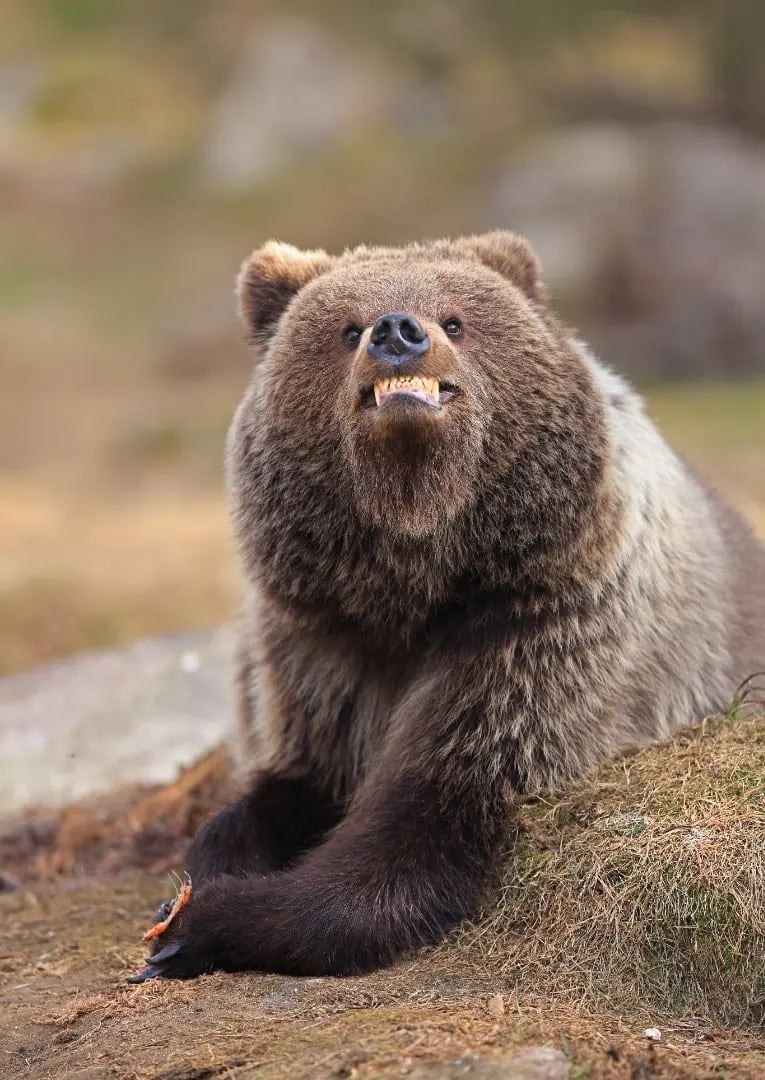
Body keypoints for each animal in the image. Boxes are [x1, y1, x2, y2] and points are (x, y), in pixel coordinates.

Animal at [129, 232, 765, 982]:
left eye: (456, 319)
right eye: (347, 327)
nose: (397, 331)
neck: (421, 580)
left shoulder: (538, 636)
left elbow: (412, 834)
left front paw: (202, 923)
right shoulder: (318, 643)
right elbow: (290, 784)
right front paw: (205, 873)